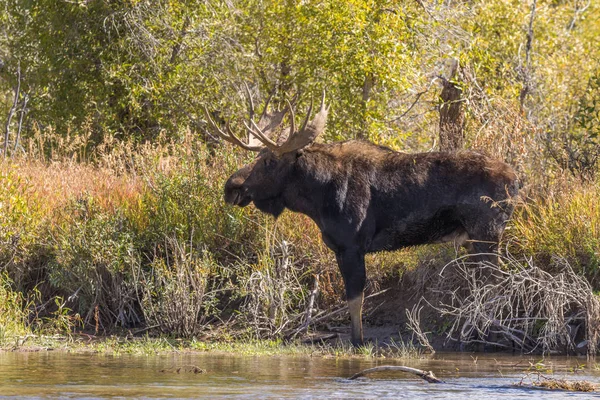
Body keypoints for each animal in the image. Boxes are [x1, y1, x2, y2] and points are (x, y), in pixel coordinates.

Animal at [204, 91, 516, 346]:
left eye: (269, 161)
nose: (231, 187)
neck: (318, 197)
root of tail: (517, 179)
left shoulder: (351, 246)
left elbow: (355, 299)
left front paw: (358, 341)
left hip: (487, 233)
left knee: (496, 282)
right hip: (477, 238)